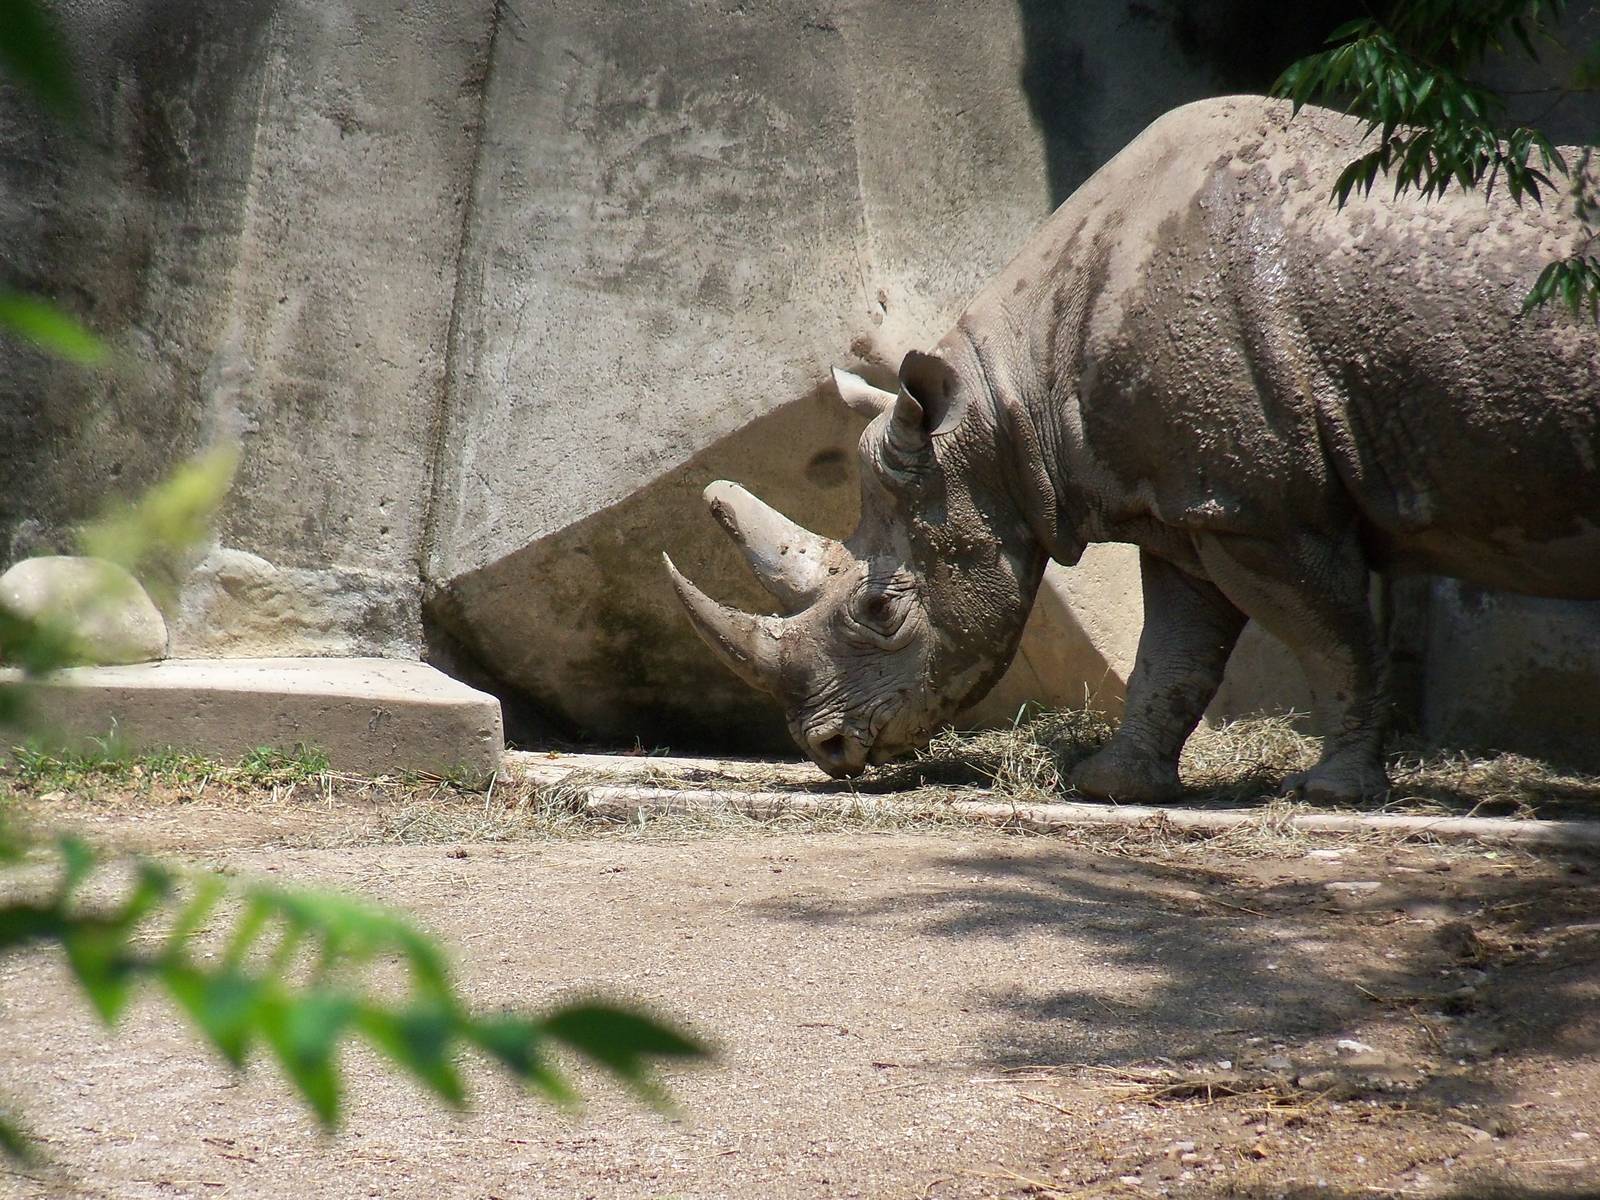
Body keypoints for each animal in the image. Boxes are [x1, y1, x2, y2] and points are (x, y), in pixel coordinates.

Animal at [662, 95, 1600, 803]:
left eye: (881, 611)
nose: (826, 750)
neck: (1004, 415)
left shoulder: (1263, 507)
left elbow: (1329, 635)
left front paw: (1332, 794)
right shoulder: (1194, 503)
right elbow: (1174, 653)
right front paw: (1111, 785)